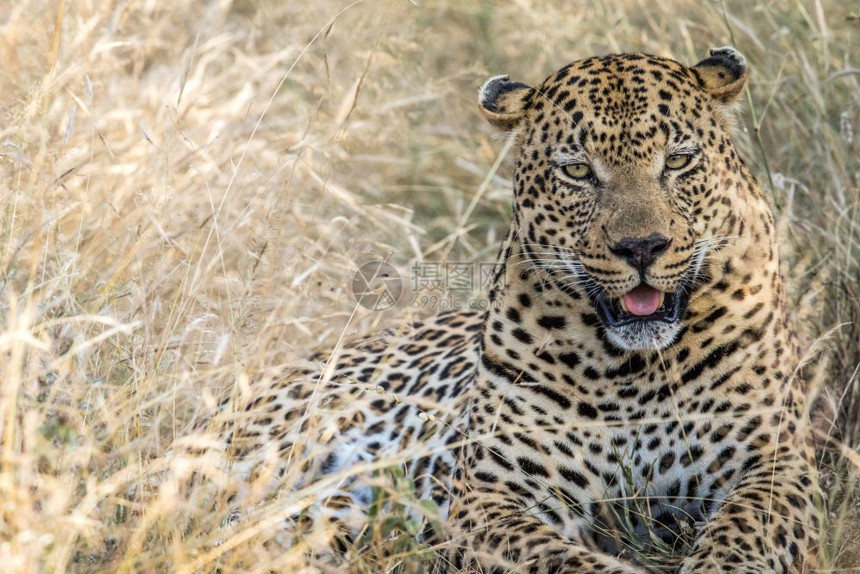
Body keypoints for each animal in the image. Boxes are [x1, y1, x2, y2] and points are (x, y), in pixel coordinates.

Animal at [218, 47, 824, 572]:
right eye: (577, 172)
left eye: (677, 161)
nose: (642, 247)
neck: (634, 371)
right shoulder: (494, 495)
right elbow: (559, 560)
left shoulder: (774, 466)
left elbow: (742, 538)